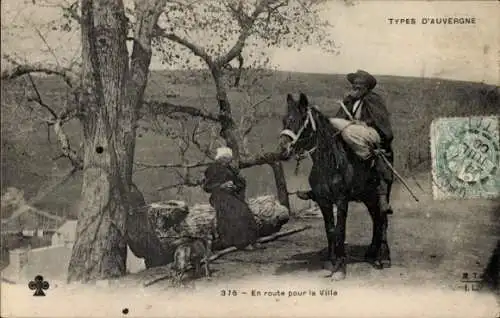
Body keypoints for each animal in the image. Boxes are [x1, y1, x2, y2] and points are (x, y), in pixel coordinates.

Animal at [278, 92, 390, 280]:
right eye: (284, 119)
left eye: (300, 120)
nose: (282, 149)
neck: (329, 163)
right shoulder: (323, 201)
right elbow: (330, 230)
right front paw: (331, 263)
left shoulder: (341, 200)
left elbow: (340, 230)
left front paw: (340, 268)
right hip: (368, 197)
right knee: (376, 219)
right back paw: (371, 253)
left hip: (381, 193)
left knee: (383, 219)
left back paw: (384, 257)